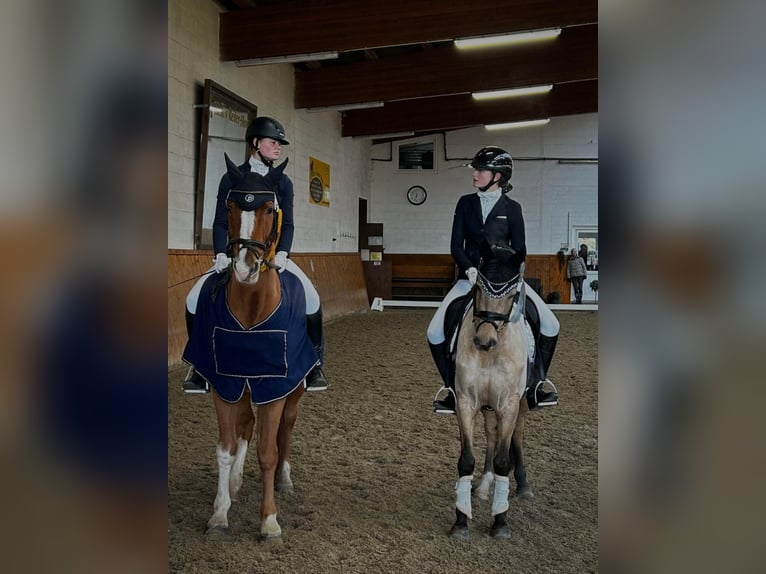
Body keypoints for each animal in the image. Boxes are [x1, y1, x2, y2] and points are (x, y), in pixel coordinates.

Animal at [450, 254, 536, 544]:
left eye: (512, 295)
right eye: (477, 288)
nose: (484, 341)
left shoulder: (509, 404)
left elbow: (503, 460)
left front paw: (500, 521)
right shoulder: (465, 402)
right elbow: (466, 460)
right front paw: (461, 520)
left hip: (520, 403)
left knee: (516, 435)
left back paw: (522, 485)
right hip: (488, 406)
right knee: (491, 433)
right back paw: (485, 484)